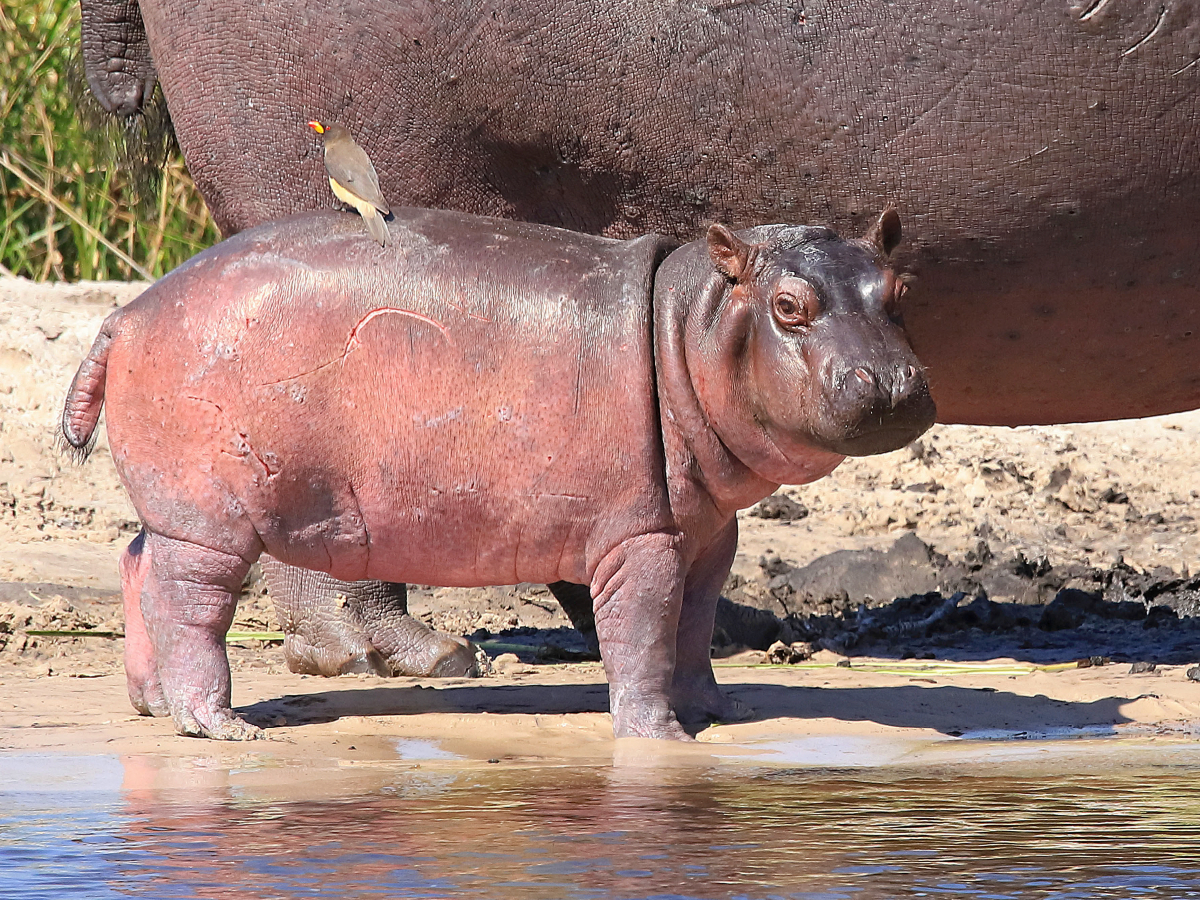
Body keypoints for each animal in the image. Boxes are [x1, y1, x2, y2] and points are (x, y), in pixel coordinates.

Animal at [60, 207, 931, 744]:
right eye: (788, 306)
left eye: (898, 291)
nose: (892, 383)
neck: (691, 323)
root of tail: (126, 314)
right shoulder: (641, 535)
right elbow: (644, 632)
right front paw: (660, 738)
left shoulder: (708, 533)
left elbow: (691, 627)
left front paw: (718, 711)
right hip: (211, 520)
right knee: (190, 604)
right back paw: (220, 724)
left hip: (177, 509)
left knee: (137, 564)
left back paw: (151, 705)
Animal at [77, 1, 1200, 672]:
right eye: (792, 313)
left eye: (901, 288)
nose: (892, 388)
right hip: (311, 152)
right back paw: (410, 655)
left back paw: (737, 633)